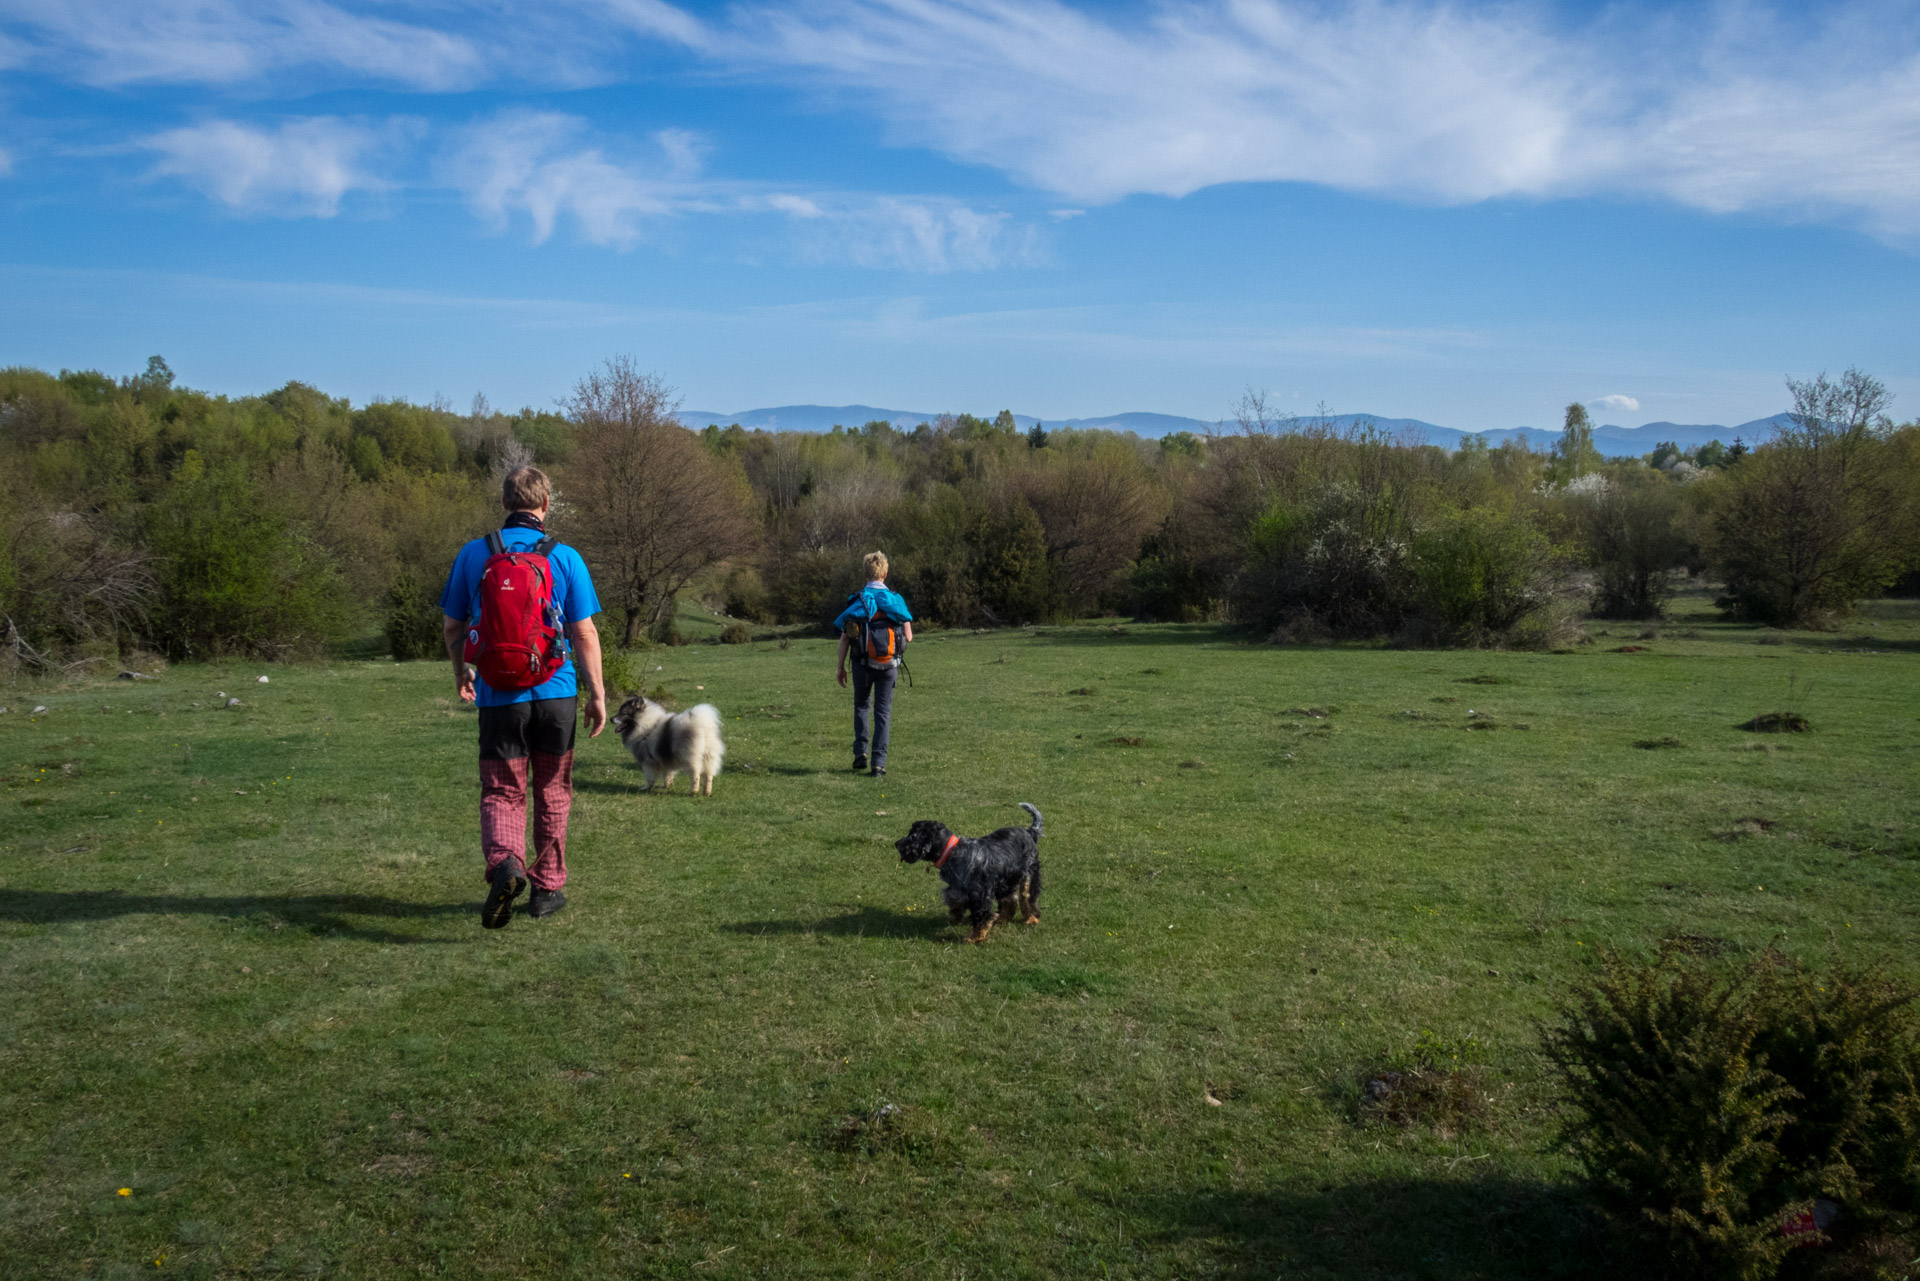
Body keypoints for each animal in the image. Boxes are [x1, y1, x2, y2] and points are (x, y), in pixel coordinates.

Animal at [894, 806, 1044, 948]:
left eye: (913, 836)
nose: (896, 843)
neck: (951, 852)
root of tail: (1029, 832)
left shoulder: (980, 896)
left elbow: (980, 918)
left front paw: (975, 938)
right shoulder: (957, 889)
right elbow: (954, 902)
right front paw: (957, 917)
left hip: (1029, 876)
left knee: (1028, 899)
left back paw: (1031, 919)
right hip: (1008, 881)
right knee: (1010, 901)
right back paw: (1002, 918)